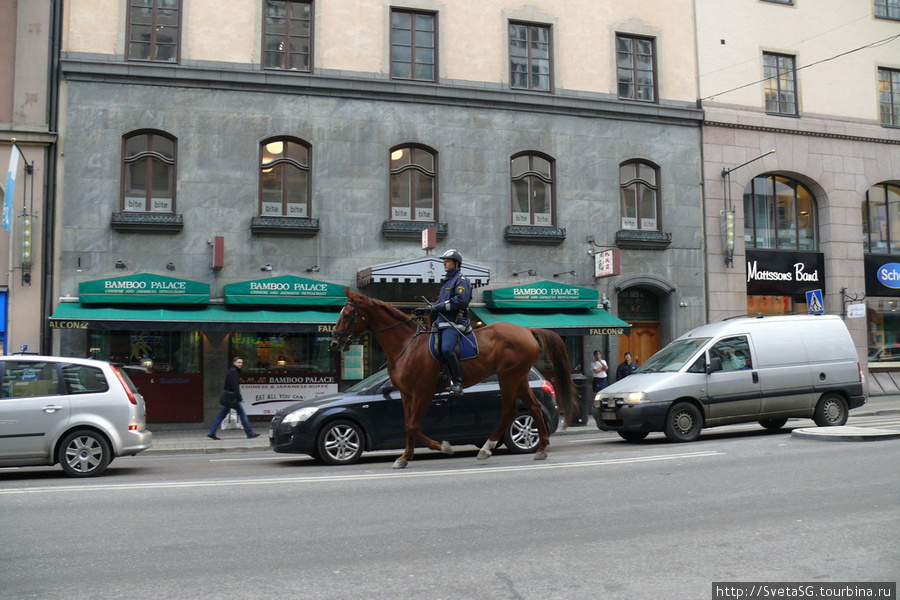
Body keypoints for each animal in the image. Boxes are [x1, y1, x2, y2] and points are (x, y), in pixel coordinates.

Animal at [330, 290, 576, 468]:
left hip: (508, 377)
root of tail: (526, 330)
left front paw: (443, 447)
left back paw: (486, 448)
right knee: (533, 408)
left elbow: (413, 425)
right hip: (519, 377)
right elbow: (408, 425)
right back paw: (541, 449)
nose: (334, 341)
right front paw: (405, 456)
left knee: (509, 410)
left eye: (348, 314)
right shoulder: (406, 394)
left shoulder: (423, 392)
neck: (407, 344)